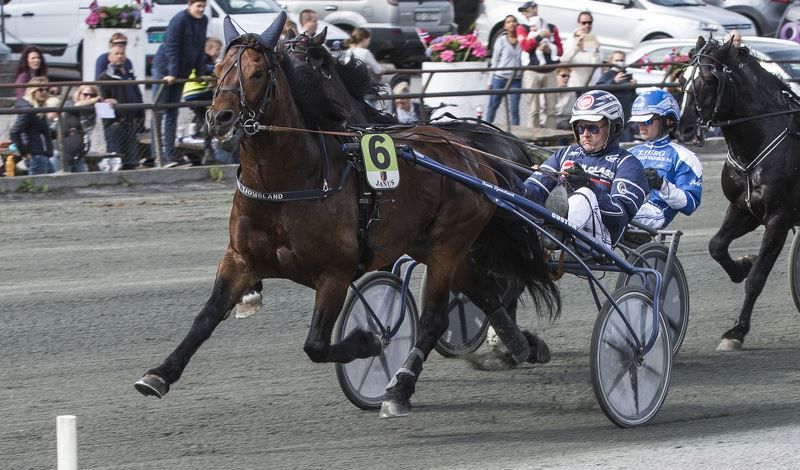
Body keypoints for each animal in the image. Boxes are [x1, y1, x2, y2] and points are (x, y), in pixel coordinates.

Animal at [134, 12, 559, 417]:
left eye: (257, 73)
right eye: (216, 70)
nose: (218, 119)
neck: (293, 179)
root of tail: (475, 157)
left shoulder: (335, 273)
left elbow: (317, 344)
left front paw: (369, 340)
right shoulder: (239, 259)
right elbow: (205, 317)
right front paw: (159, 373)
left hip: (449, 242)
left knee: (439, 316)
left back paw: (401, 388)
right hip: (432, 244)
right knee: (482, 290)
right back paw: (519, 345)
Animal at [679, 36, 800, 350]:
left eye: (710, 80)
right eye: (683, 77)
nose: (683, 127)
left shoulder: (779, 217)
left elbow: (757, 279)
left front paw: (736, 332)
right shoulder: (742, 208)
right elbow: (716, 246)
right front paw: (743, 264)